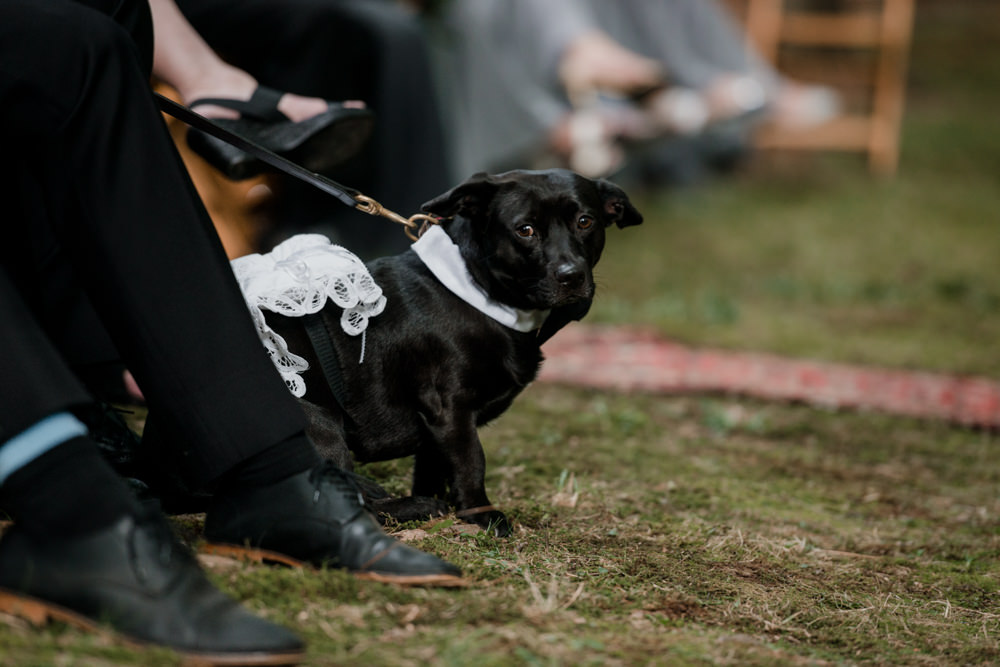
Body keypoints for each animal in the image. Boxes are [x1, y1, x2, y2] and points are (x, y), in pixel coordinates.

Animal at [266, 168, 640, 536]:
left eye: (585, 222)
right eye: (526, 230)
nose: (571, 276)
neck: (479, 294)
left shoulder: (435, 428)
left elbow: (433, 467)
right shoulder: (451, 410)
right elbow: (471, 462)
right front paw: (482, 514)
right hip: (319, 424)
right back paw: (415, 507)